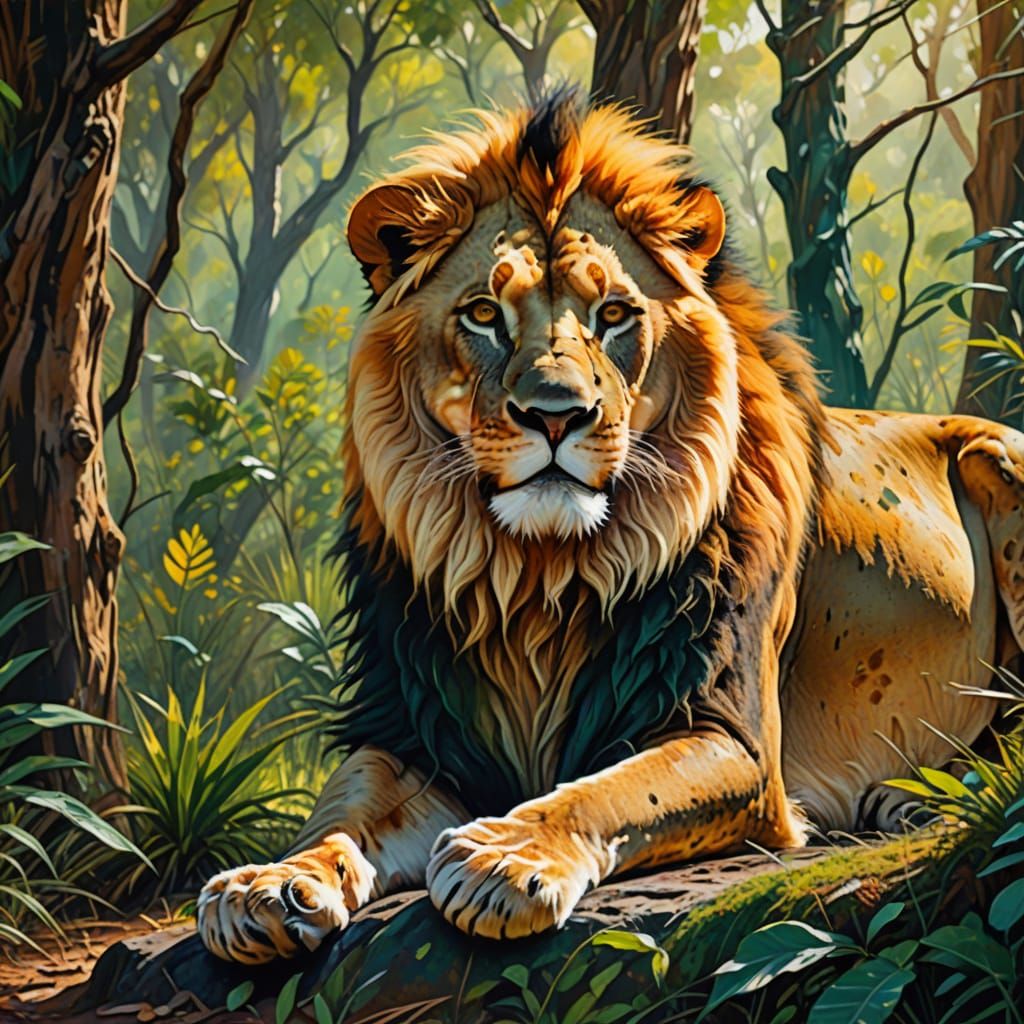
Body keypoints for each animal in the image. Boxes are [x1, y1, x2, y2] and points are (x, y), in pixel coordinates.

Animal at [197, 91, 1024, 963]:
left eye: (616, 313)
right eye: (484, 314)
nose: (556, 413)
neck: (536, 577)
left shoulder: (732, 737)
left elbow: (611, 790)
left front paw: (506, 859)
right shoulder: (419, 730)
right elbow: (343, 804)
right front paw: (268, 883)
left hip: (999, 456)